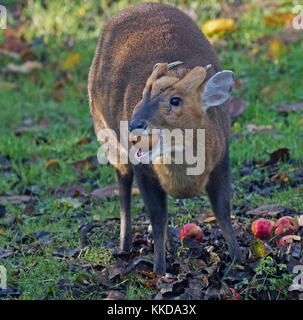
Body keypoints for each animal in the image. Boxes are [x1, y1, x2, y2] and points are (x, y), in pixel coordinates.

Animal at [88, 1, 242, 274]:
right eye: (143, 94)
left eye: (175, 100)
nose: (135, 124)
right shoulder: (144, 169)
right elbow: (156, 216)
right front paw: (160, 270)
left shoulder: (222, 157)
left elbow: (222, 208)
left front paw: (239, 259)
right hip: (105, 134)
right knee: (123, 185)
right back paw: (125, 245)